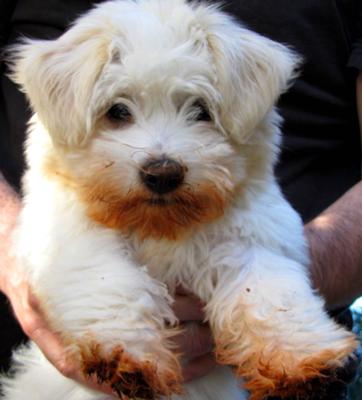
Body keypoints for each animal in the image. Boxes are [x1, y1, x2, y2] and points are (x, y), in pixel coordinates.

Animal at [0, 0, 356, 400]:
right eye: (118, 111)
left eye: (200, 110)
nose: (162, 173)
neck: (163, 228)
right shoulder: (67, 237)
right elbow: (110, 278)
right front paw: (126, 355)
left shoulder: (252, 238)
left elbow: (268, 290)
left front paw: (303, 360)